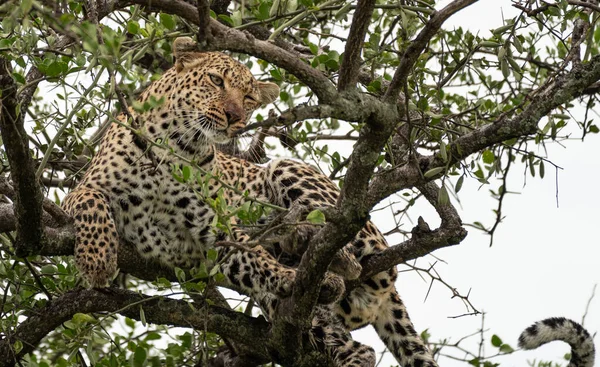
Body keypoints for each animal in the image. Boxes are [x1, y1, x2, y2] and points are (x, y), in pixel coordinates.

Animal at [63, 35, 438, 367]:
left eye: (248, 99)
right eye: (216, 80)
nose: (233, 117)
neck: (178, 145)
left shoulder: (213, 226)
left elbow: (253, 253)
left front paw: (287, 272)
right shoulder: (81, 191)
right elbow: (92, 202)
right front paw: (97, 260)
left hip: (287, 170)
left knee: (354, 260)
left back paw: (310, 247)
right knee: (355, 346)